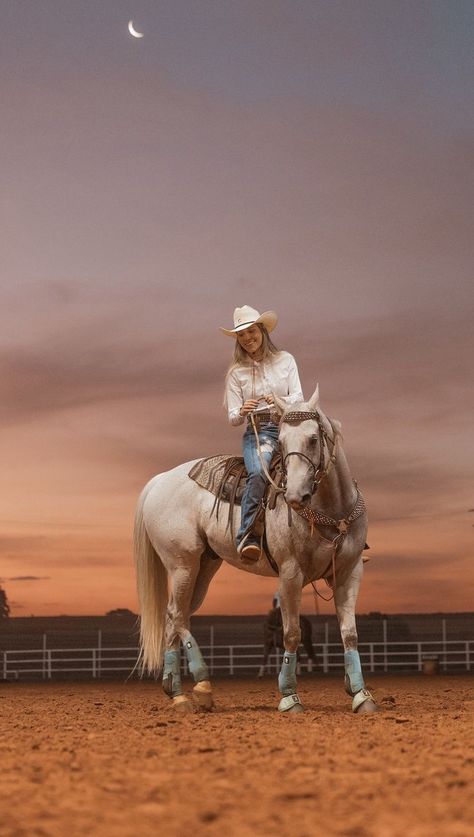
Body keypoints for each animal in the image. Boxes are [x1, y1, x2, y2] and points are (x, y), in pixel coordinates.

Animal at [134, 382, 378, 716]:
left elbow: (350, 634)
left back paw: (177, 694)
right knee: (176, 615)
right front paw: (289, 697)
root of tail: (159, 481)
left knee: (175, 618)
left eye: (313, 438)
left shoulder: (349, 572)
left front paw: (361, 694)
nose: (295, 496)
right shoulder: (290, 573)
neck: (332, 509)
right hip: (182, 564)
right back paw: (202, 686)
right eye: (282, 442)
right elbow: (291, 633)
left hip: (204, 567)